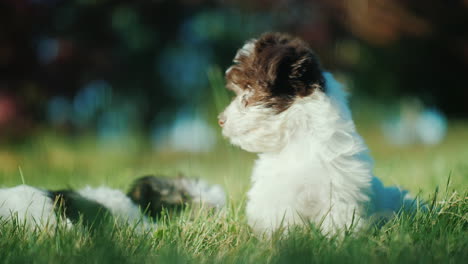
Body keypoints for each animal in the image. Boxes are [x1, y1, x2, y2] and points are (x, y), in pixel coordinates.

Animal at [219, 32, 420, 236]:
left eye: (249, 89)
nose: (221, 120)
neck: (298, 140)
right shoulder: (278, 198)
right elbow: (284, 220)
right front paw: (287, 239)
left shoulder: (339, 192)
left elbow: (339, 218)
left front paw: (338, 238)